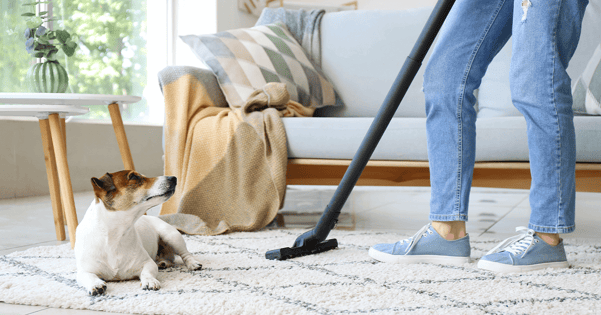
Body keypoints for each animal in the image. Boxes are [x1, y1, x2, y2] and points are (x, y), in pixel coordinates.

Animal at [74, 170, 202, 296]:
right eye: (134, 177)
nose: (174, 178)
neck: (115, 235)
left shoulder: (147, 263)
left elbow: (147, 272)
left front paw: (149, 281)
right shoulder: (84, 271)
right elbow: (88, 276)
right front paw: (96, 285)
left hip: (171, 236)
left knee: (185, 254)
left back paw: (192, 264)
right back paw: (163, 262)